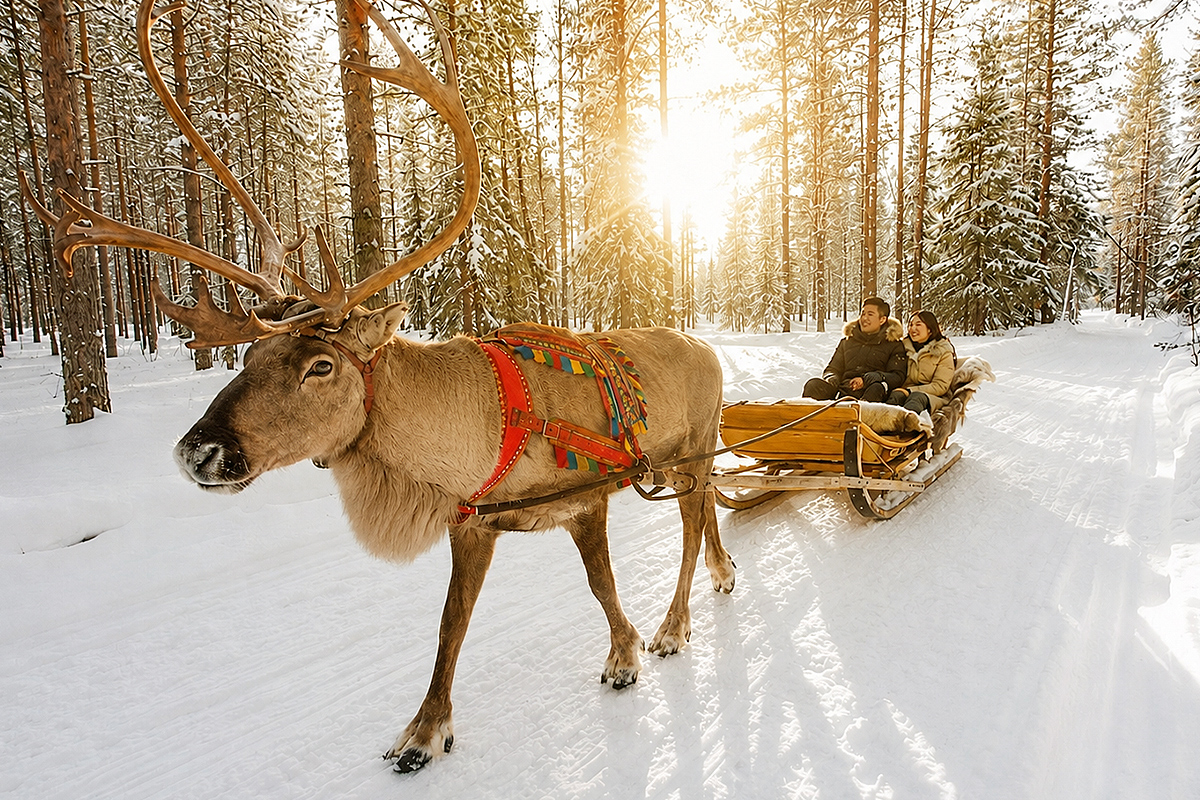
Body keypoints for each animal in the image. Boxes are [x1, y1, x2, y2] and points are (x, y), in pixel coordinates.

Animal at [25, 0, 736, 774]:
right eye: (250, 351)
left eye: (321, 364)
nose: (198, 451)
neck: (479, 423)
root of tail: (708, 346)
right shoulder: (471, 521)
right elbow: (452, 623)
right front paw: (427, 728)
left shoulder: (583, 501)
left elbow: (589, 587)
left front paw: (621, 656)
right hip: (686, 462)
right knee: (713, 514)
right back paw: (724, 574)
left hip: (691, 453)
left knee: (692, 531)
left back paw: (674, 624)